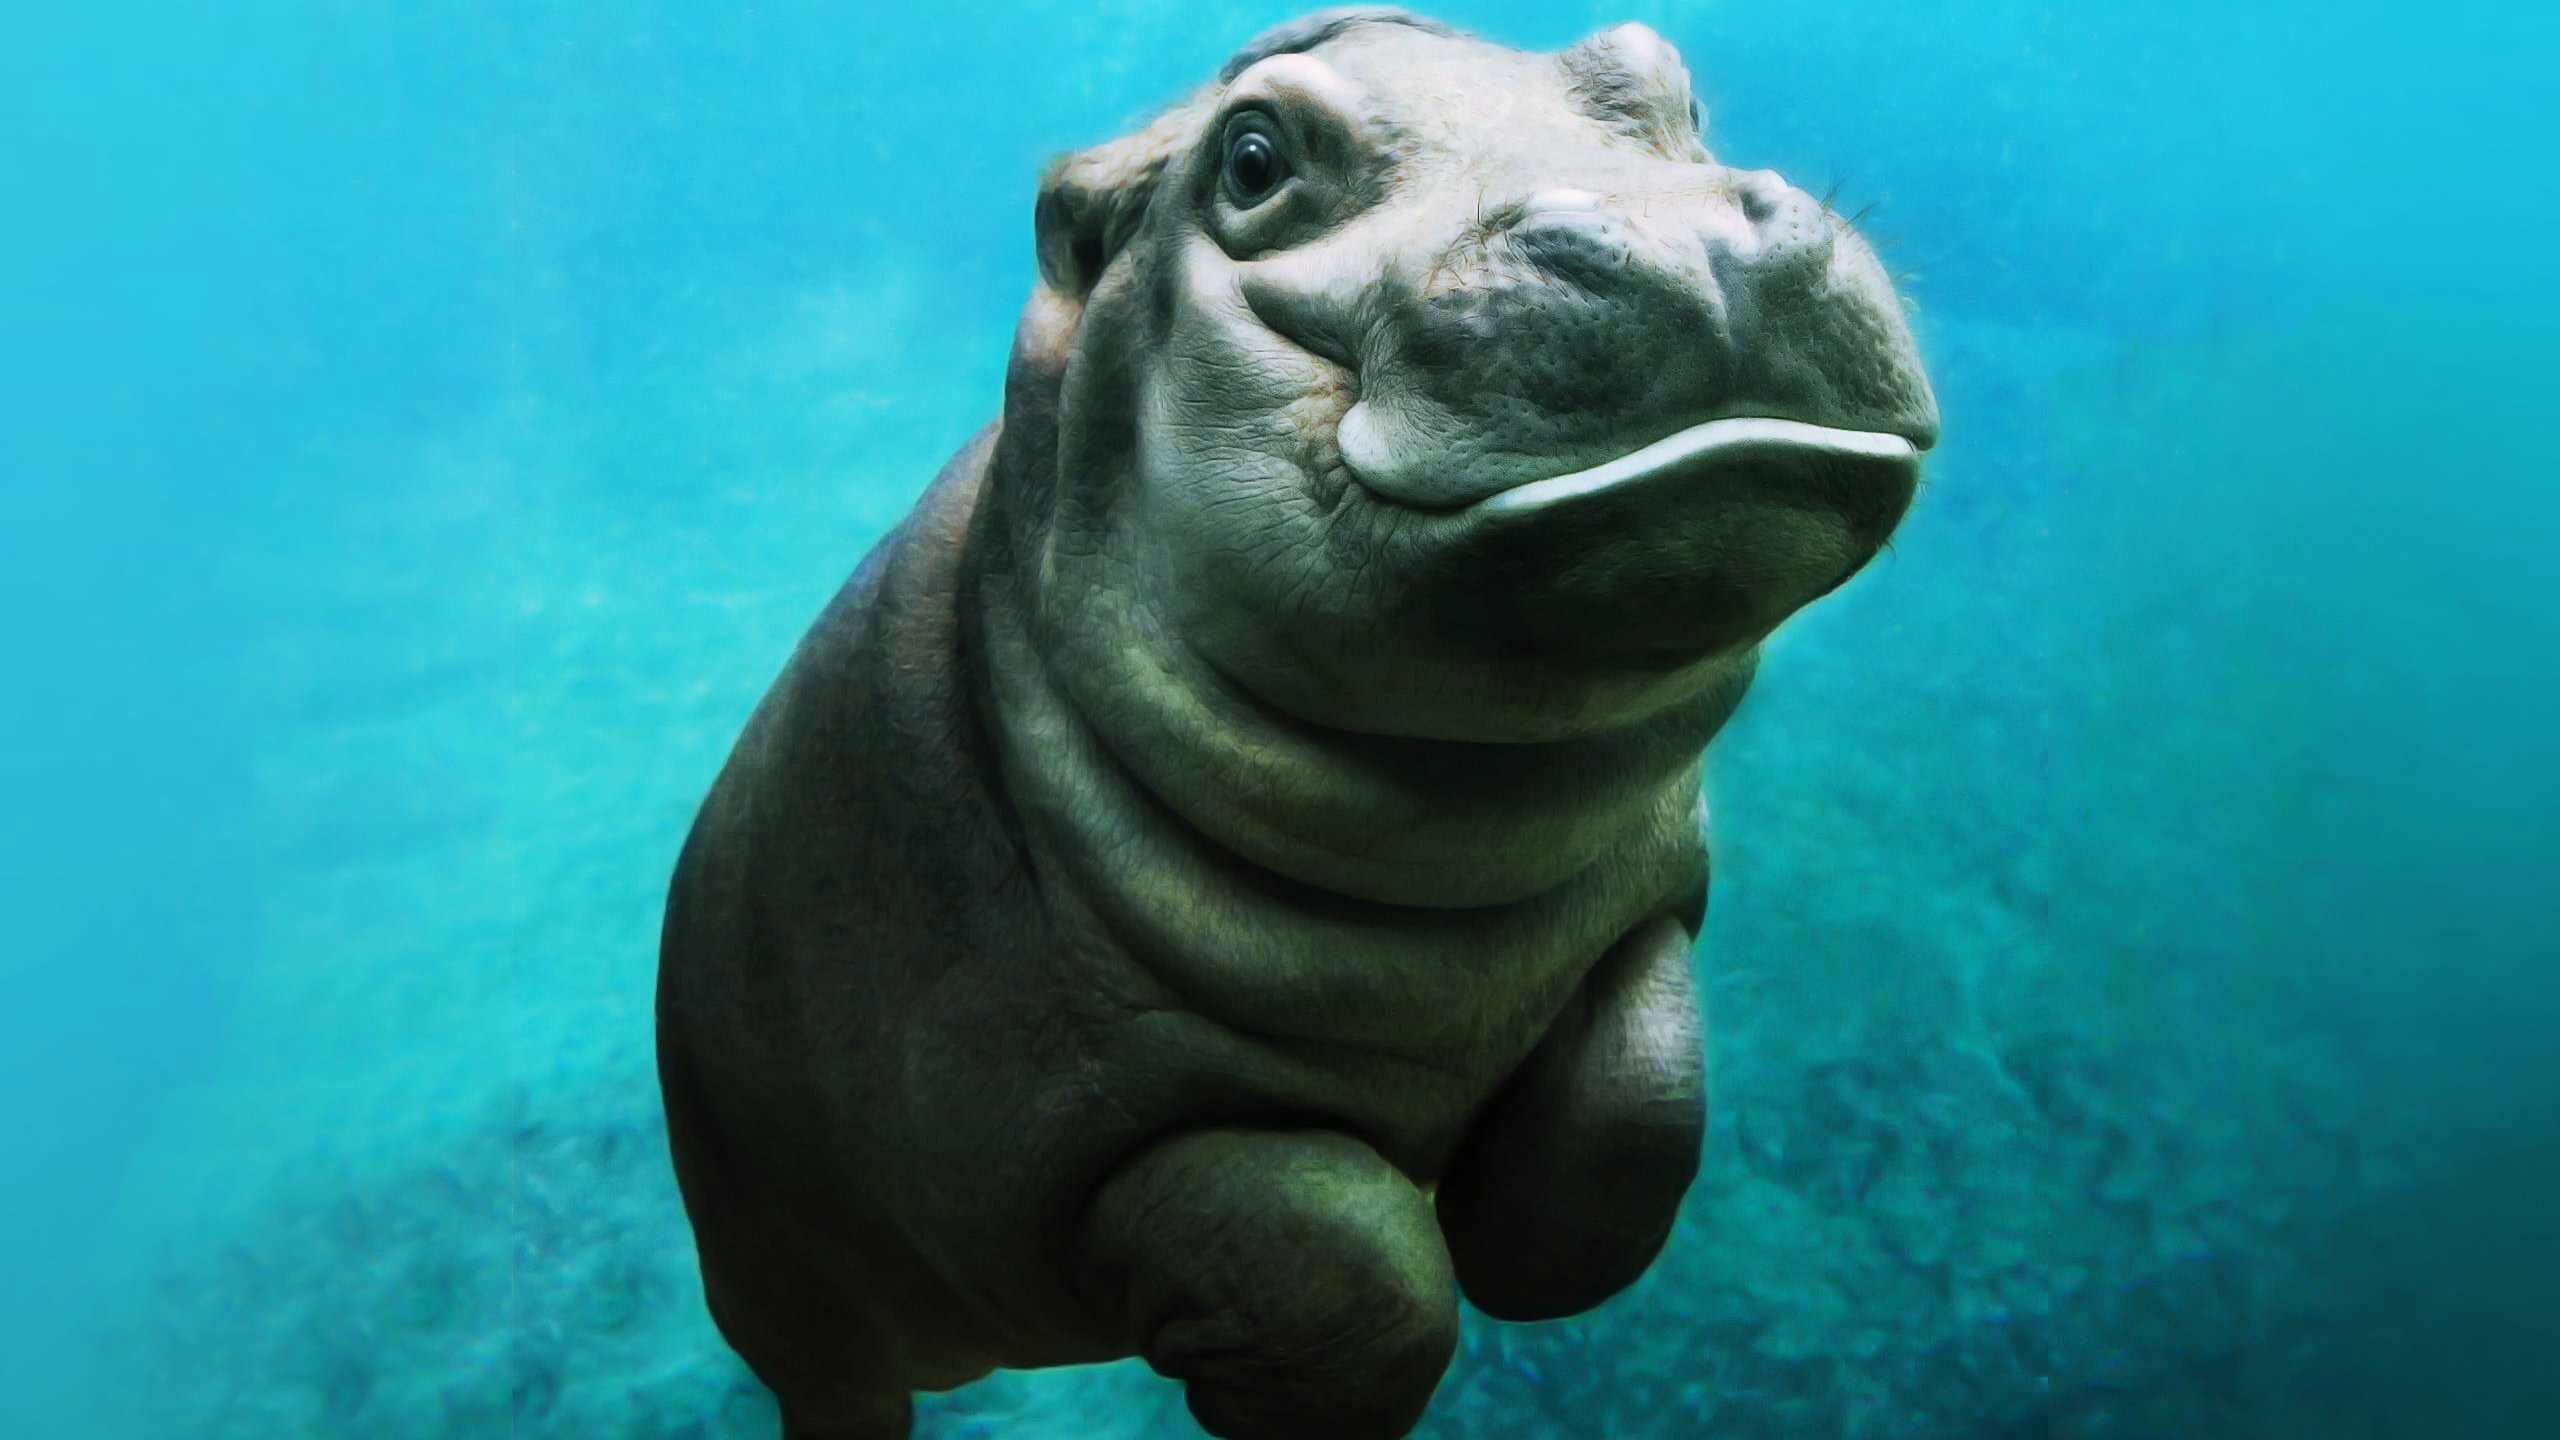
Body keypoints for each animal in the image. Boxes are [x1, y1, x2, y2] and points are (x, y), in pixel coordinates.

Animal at [654, 9, 1938, 1439]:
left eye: (1674, 88)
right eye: (1253, 158)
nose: (1682, 232)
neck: (1452, 849)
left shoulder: (1644, 911)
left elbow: (1638, 1110)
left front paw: (1521, 1239)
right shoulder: (1055, 1124)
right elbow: (1350, 1261)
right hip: (784, 1286)